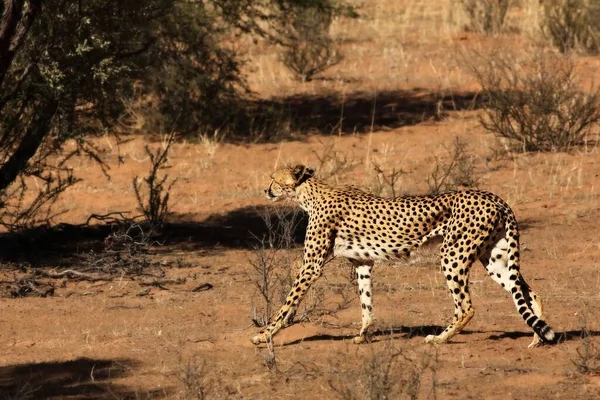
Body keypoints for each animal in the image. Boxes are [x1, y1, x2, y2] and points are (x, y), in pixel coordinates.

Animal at [250, 164, 556, 348]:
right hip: (494, 258)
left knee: (466, 306)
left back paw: (439, 339)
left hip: (452, 255)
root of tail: (495, 198)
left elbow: (287, 303)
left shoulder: (311, 266)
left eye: (274, 178)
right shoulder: (363, 263)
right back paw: (537, 337)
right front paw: (362, 335)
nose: (265, 189)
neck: (311, 194)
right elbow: (366, 304)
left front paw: (265, 334)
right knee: (529, 293)